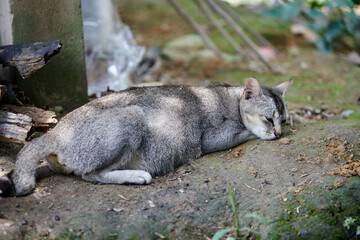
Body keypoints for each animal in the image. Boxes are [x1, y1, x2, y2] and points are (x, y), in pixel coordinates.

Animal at [0, 78, 292, 196]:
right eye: (269, 119)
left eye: (283, 119)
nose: (278, 132)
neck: (229, 98)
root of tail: (57, 132)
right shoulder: (211, 138)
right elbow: (246, 132)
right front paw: (259, 133)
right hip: (131, 116)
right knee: (90, 174)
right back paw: (136, 175)